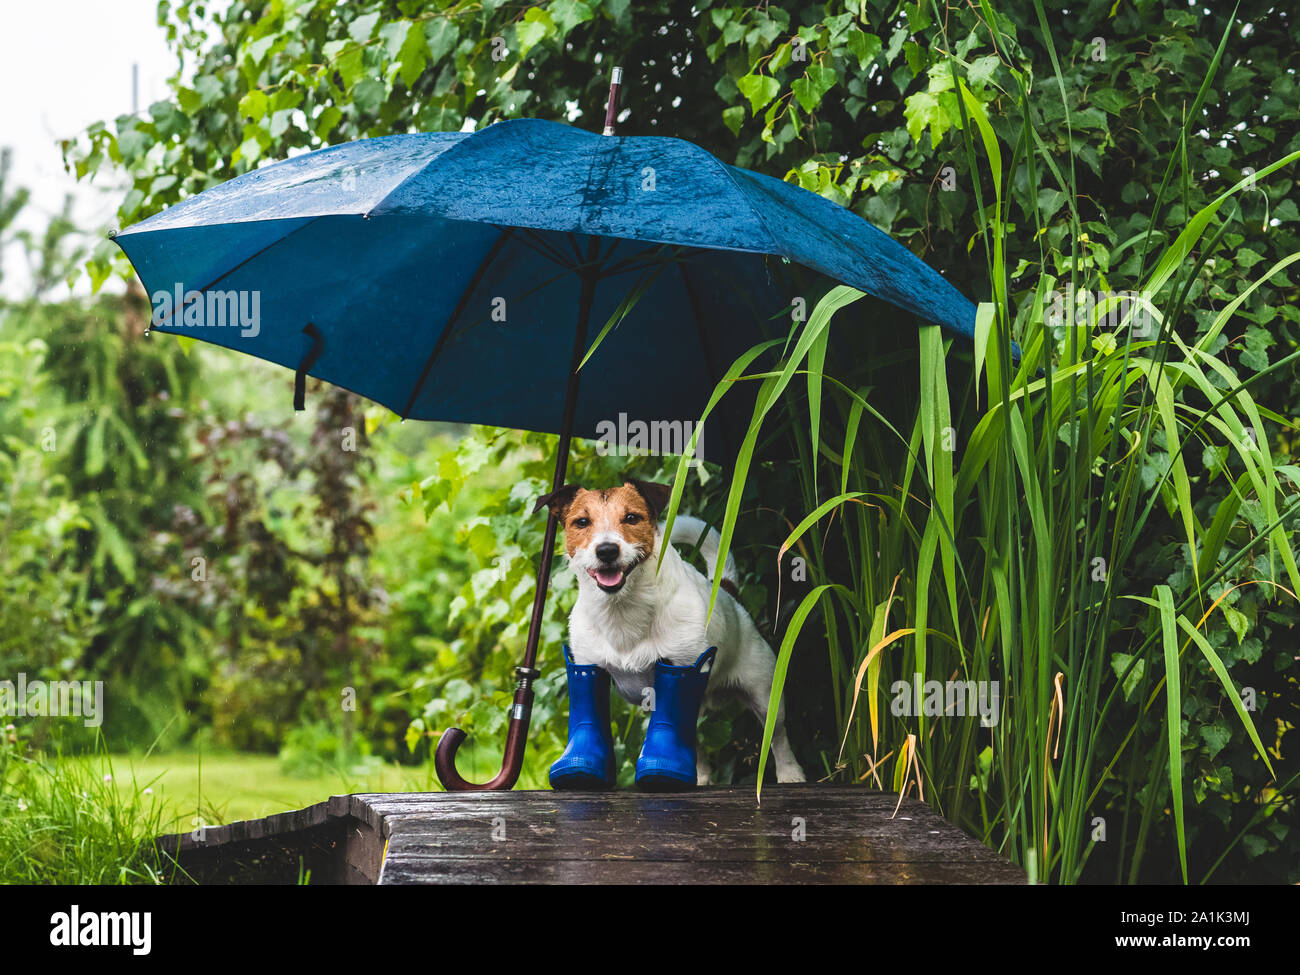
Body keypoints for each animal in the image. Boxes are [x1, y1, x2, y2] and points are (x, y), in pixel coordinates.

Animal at [535, 478, 800, 790]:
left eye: (631, 518)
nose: (607, 550)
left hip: (766, 691)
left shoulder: (682, 664)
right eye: (582, 522)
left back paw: (790, 773)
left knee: (778, 735)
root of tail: (727, 591)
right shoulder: (588, 665)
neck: (623, 609)